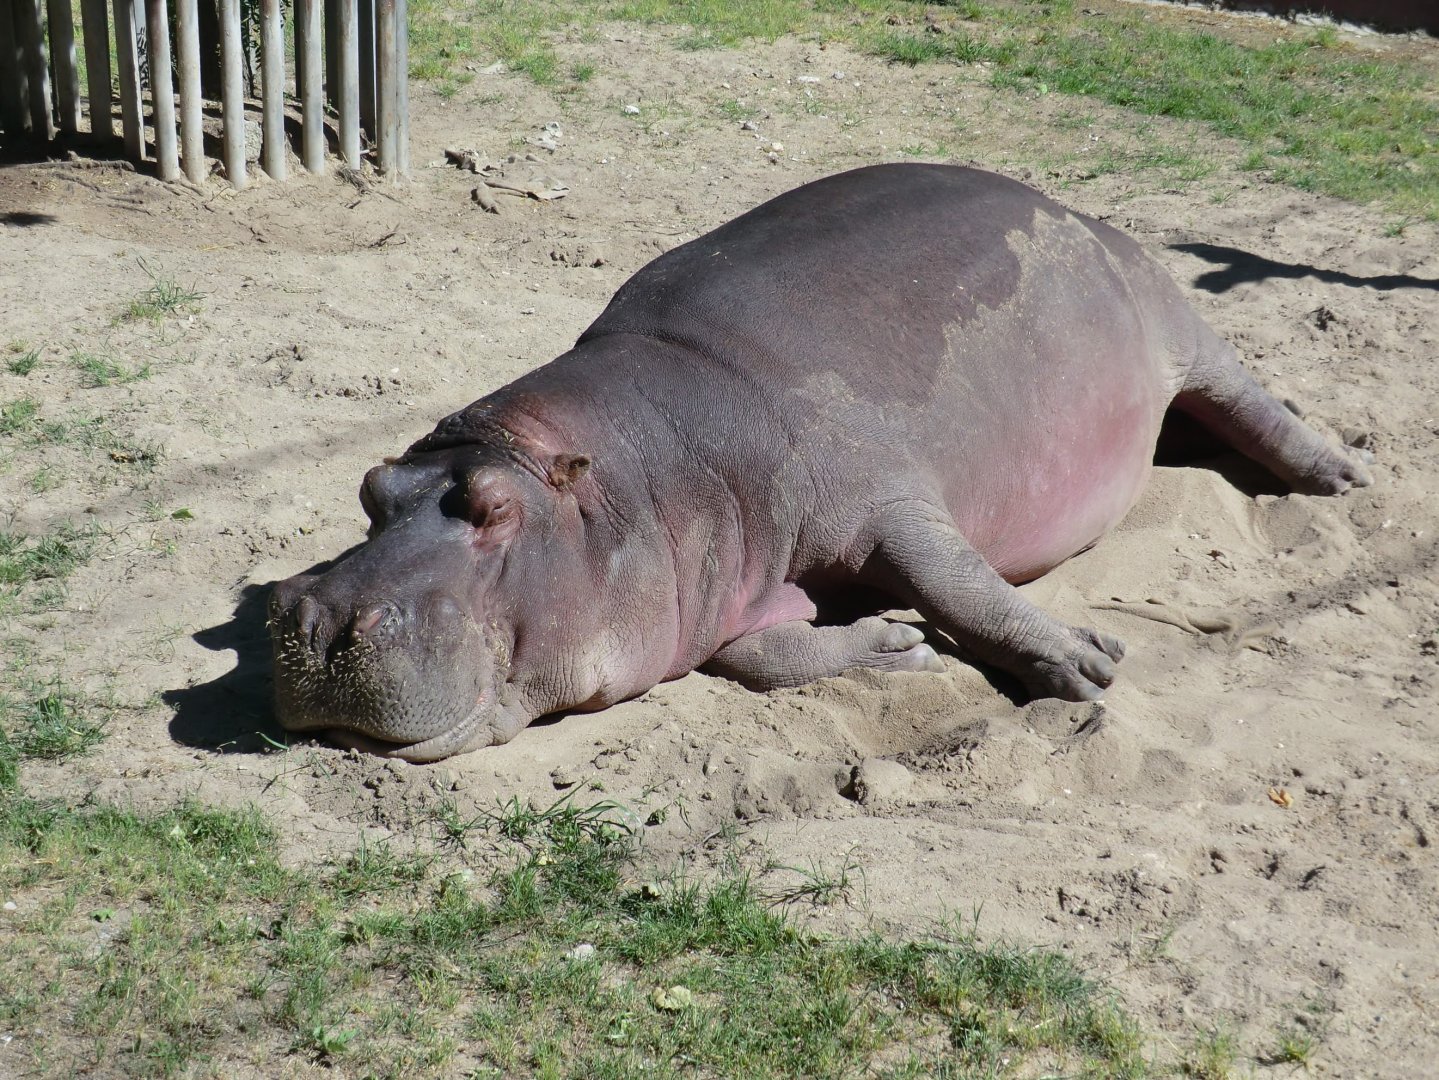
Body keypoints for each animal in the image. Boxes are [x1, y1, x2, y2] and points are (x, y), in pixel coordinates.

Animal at [269, 163, 1370, 761]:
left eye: (494, 508)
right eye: (371, 486)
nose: (315, 618)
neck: (641, 474)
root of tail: (1070, 206)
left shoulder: (885, 498)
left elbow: (958, 579)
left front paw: (1084, 663)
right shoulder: (718, 586)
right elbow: (748, 653)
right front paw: (892, 644)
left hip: (1175, 321)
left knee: (1247, 397)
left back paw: (1341, 476)